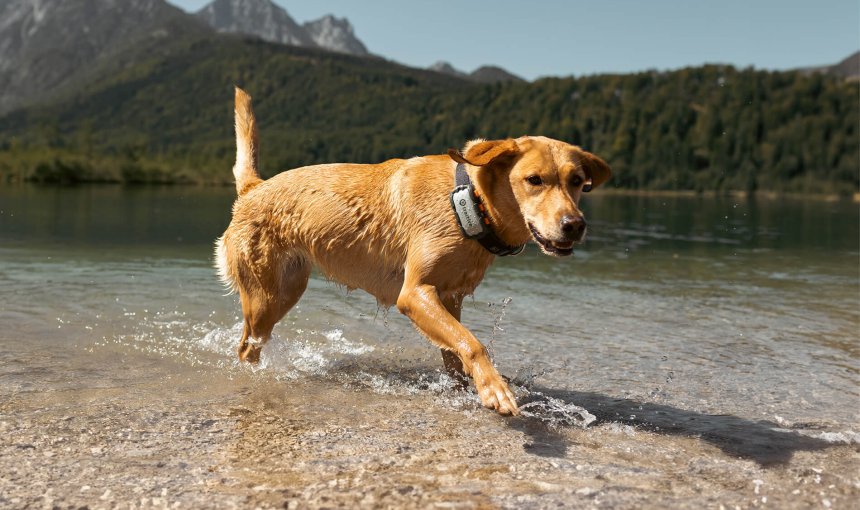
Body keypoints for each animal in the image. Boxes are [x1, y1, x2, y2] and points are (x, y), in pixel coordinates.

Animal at [220, 87, 612, 414]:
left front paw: (466, 389)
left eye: (578, 181)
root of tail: (254, 188)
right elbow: (473, 343)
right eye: (534, 180)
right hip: (267, 299)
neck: (467, 203)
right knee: (247, 346)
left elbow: (456, 353)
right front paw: (495, 390)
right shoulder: (414, 293)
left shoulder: (449, 298)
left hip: (287, 289)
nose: (575, 225)